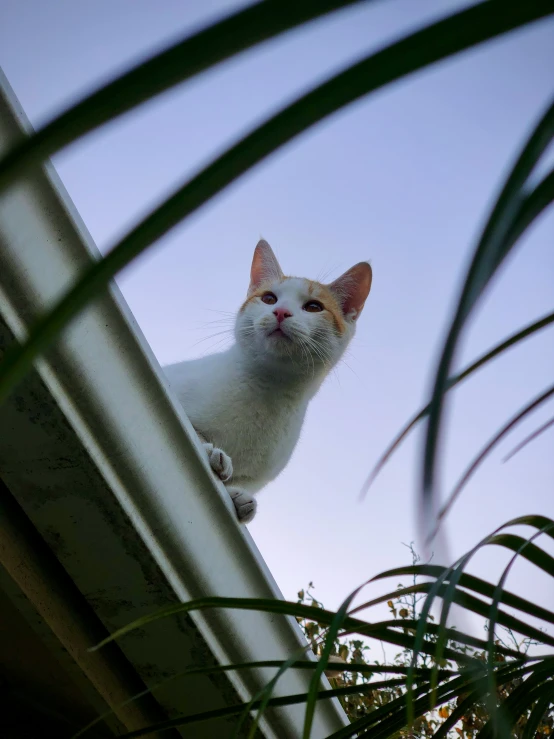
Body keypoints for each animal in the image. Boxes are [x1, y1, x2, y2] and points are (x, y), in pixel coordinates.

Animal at [164, 240, 370, 524]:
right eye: (269, 298)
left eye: (314, 307)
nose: (281, 312)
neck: (268, 389)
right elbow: (196, 433)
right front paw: (213, 453)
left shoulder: (257, 476)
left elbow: (243, 484)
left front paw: (240, 497)